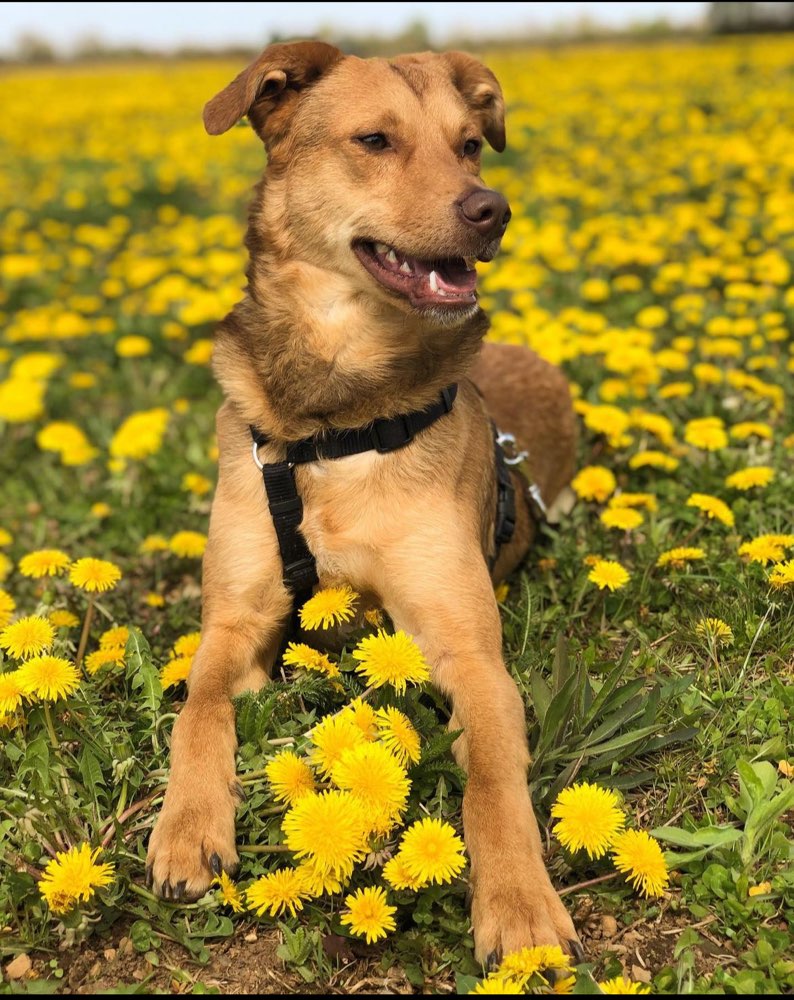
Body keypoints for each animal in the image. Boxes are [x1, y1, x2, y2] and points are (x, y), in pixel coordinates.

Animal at [144, 43, 576, 964]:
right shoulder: (235, 618)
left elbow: (495, 779)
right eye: (375, 140)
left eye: (470, 145)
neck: (339, 418)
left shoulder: (469, 653)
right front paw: (188, 826)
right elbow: (197, 707)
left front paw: (520, 906)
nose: (493, 210)